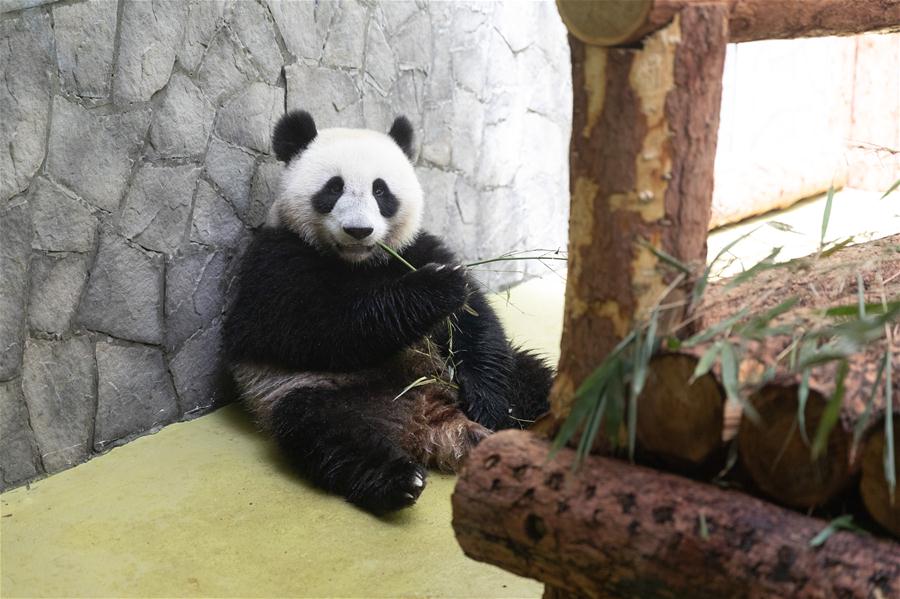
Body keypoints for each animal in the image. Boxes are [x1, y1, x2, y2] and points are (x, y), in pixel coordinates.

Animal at [221, 110, 552, 512]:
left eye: (381, 191)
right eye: (333, 188)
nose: (358, 230)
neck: (359, 262)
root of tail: (431, 422)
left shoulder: (416, 248)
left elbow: (475, 323)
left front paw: (489, 404)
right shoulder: (275, 261)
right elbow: (318, 328)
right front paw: (436, 289)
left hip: (507, 378)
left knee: (534, 378)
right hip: (315, 394)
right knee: (329, 435)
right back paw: (399, 480)